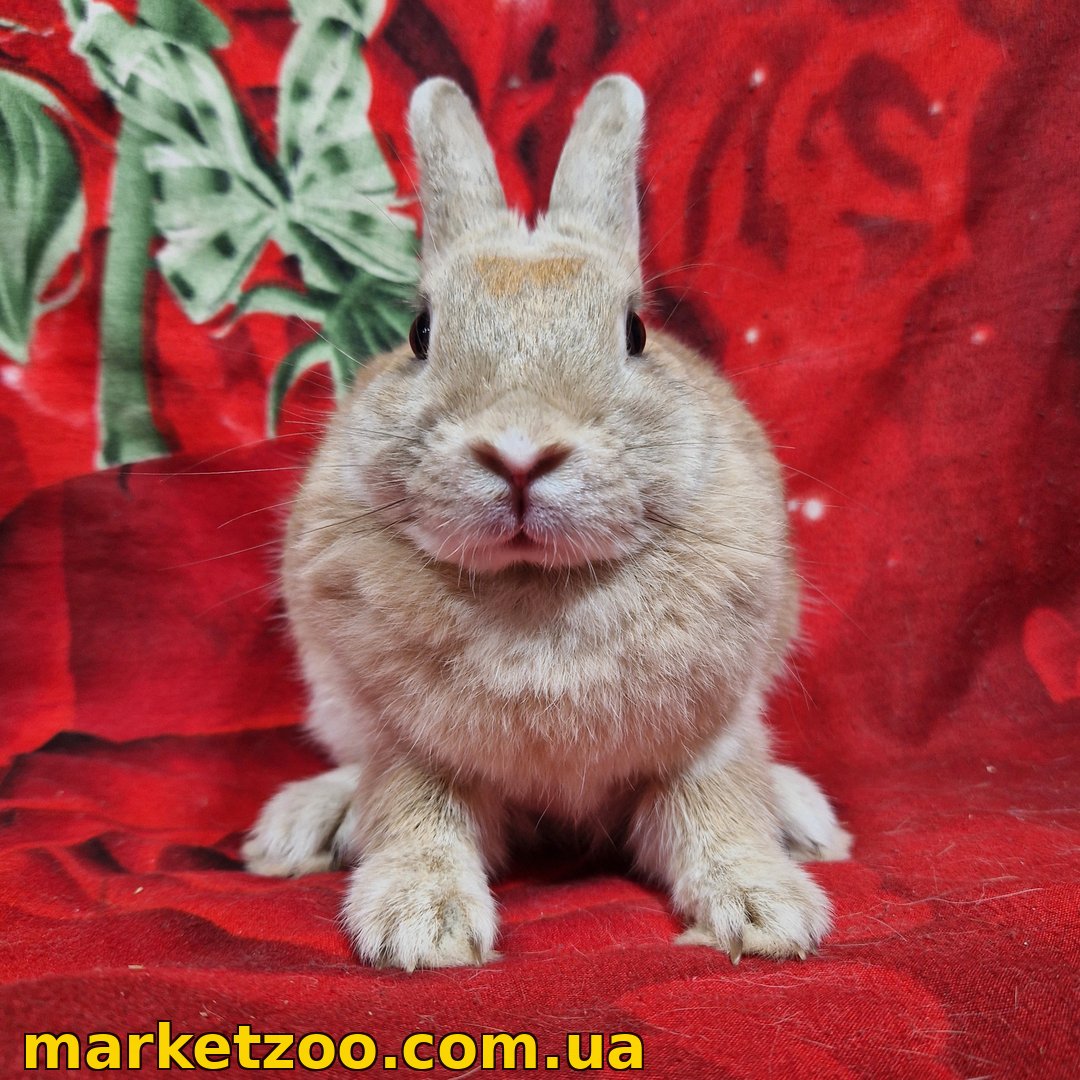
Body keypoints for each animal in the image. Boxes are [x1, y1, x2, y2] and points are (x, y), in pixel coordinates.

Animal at [242, 75, 852, 971]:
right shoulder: (413, 750)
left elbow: (719, 807)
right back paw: (301, 827)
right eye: (419, 332)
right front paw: (420, 927)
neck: (537, 587)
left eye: (635, 331)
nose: (521, 453)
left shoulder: (702, 740)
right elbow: (411, 813)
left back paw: (803, 818)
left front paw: (767, 913)